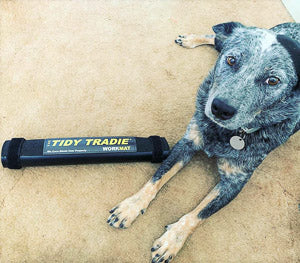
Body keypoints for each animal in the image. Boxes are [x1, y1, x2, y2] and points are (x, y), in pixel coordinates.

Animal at [106, 21, 298, 262]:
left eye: (273, 80)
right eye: (231, 60)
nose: (221, 108)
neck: (225, 134)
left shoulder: (235, 181)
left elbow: (199, 214)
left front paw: (172, 240)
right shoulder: (187, 143)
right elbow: (156, 178)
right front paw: (131, 206)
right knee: (218, 37)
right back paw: (191, 39)